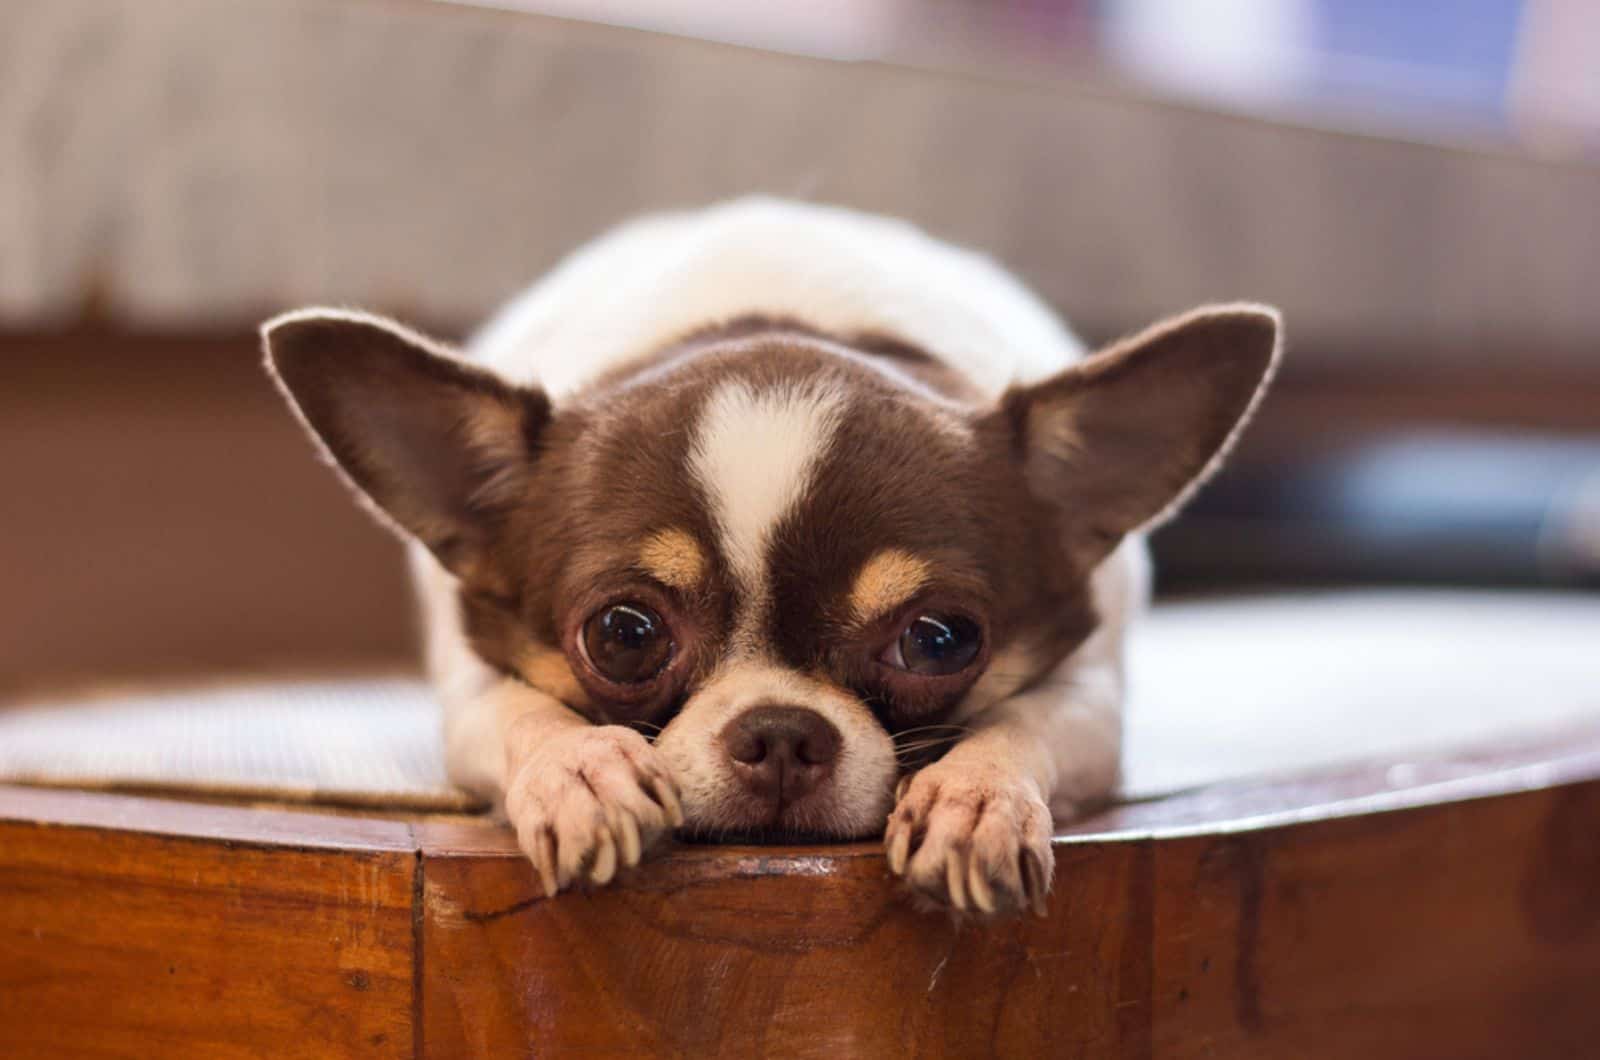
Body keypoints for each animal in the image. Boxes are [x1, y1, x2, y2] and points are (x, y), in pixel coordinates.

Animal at [268, 201, 1280, 922]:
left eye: (940, 640)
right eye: (623, 635)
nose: (783, 733)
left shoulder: (1092, 694)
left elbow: (1021, 722)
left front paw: (976, 796)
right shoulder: (470, 680)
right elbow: (522, 712)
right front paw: (583, 772)